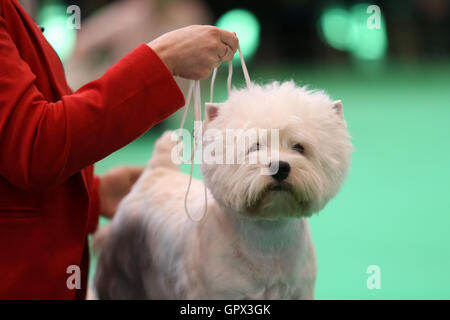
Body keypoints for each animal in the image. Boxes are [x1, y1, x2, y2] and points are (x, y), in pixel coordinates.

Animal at [95, 80, 354, 300]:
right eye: (254, 147)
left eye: (299, 147)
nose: (280, 167)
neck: (268, 239)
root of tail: (157, 172)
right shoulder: (214, 294)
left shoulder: (298, 291)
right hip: (121, 273)